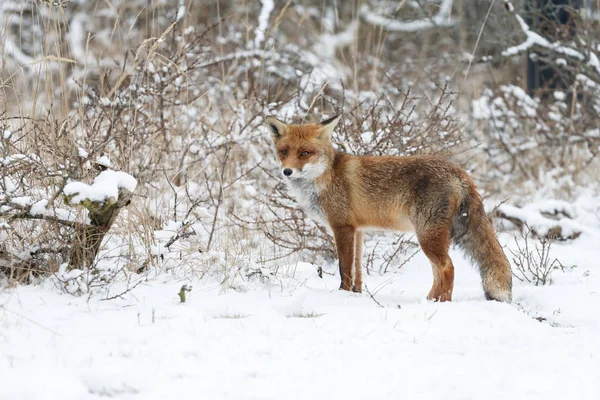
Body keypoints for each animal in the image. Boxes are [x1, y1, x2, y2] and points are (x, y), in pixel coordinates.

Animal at [266, 114, 510, 302]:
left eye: (305, 153)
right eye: (284, 151)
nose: (287, 171)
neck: (326, 176)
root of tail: (459, 171)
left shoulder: (342, 227)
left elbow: (344, 269)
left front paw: (342, 295)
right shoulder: (358, 230)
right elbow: (357, 269)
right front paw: (356, 295)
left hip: (427, 236)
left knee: (447, 268)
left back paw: (443, 303)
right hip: (431, 237)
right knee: (437, 272)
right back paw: (430, 301)